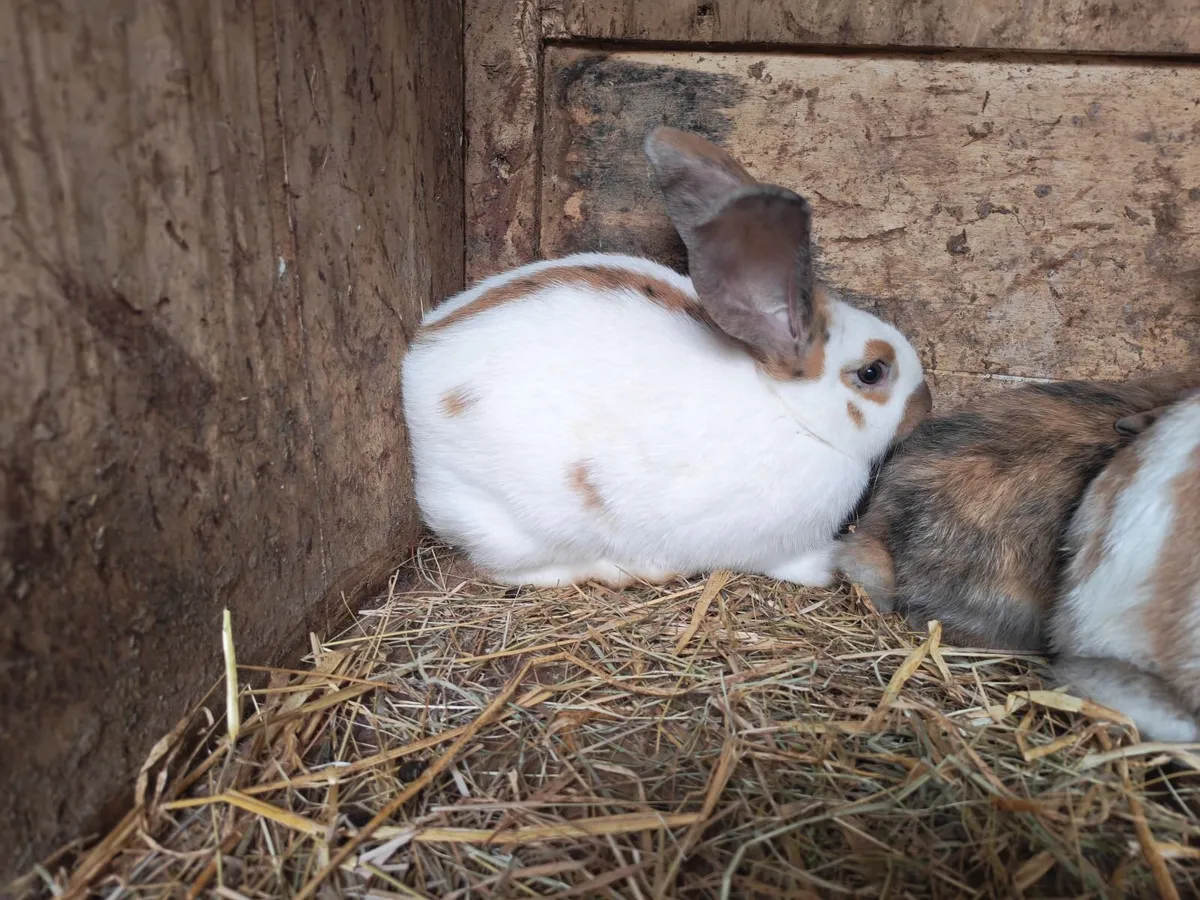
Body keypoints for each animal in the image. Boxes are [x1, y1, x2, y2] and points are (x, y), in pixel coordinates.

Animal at [399, 126, 933, 589]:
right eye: (872, 372)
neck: (794, 413)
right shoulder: (774, 546)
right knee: (510, 570)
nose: (925, 404)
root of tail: (415, 368)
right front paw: (828, 567)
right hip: (519, 523)